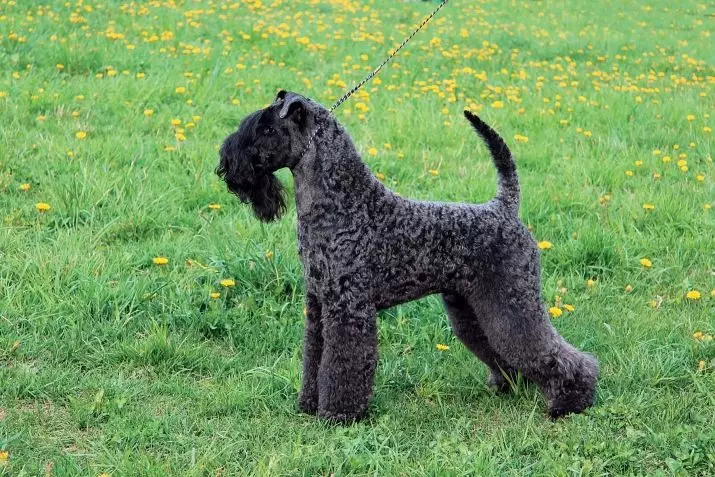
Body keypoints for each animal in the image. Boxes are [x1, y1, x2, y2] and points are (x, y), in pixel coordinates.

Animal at [217, 89, 600, 420]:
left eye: (266, 128)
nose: (226, 163)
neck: (342, 201)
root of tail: (504, 208)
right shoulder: (318, 303)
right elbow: (315, 356)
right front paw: (309, 404)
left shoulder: (348, 307)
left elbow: (343, 362)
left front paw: (339, 415)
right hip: (471, 306)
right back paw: (509, 384)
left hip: (511, 299)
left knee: (550, 349)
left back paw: (571, 401)